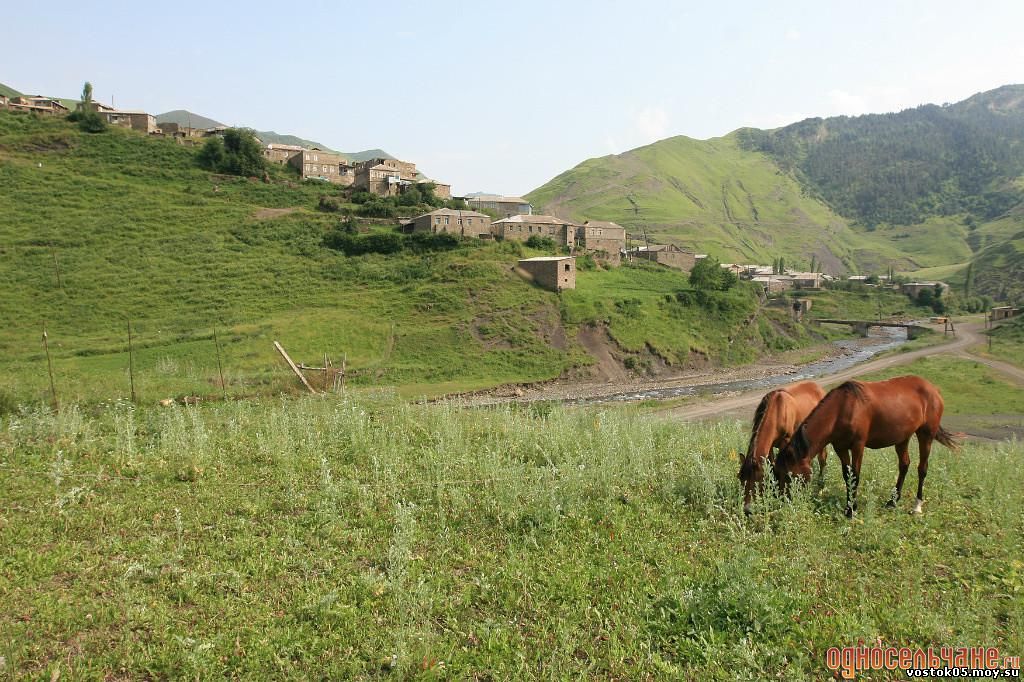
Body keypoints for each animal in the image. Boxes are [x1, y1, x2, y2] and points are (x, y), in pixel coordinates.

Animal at [737, 378, 823, 512]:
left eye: (757, 479)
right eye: (740, 478)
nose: (747, 510)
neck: (778, 410)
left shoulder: (786, 442)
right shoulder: (771, 445)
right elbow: (771, 464)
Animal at [774, 376, 958, 516]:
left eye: (788, 475)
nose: (781, 501)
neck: (842, 409)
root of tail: (933, 389)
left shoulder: (858, 446)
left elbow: (855, 475)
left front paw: (851, 510)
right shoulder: (840, 447)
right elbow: (847, 475)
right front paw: (850, 506)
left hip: (926, 435)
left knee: (922, 468)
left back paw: (917, 506)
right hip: (902, 438)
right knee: (904, 465)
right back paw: (892, 501)